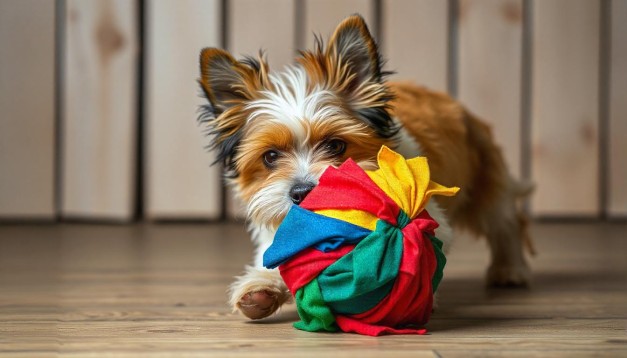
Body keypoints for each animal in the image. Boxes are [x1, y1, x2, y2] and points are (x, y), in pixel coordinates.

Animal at [197, 15, 536, 320]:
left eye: (336, 145)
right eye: (270, 157)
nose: (302, 191)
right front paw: (262, 288)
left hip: (484, 178)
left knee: (505, 219)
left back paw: (510, 269)